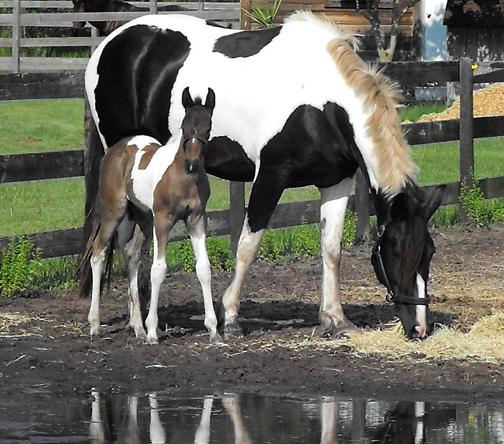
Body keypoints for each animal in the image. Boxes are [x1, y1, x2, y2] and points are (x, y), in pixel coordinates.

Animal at [83, 86, 220, 344]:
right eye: (184, 127)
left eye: (208, 128)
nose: (192, 164)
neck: (182, 177)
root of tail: (115, 150)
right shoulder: (163, 221)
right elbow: (158, 270)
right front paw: (153, 332)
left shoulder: (196, 219)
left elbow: (204, 269)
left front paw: (214, 329)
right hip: (115, 212)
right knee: (98, 252)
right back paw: (95, 324)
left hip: (142, 218)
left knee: (131, 254)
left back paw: (137, 326)